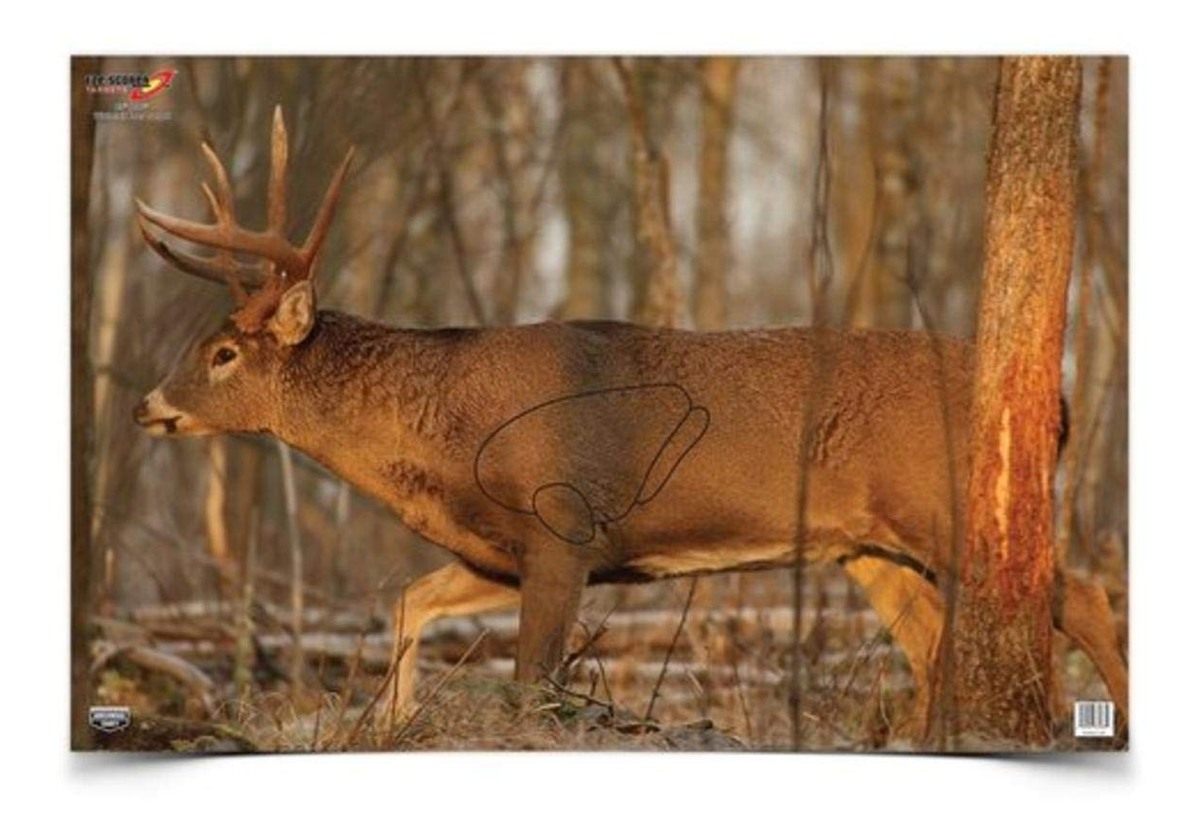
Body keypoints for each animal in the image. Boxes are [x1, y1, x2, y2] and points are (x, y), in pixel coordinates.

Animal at [132, 106, 1128, 742]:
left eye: (224, 352)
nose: (147, 405)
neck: (444, 439)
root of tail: (1058, 399)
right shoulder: (501, 551)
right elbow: (409, 601)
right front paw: (396, 722)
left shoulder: (564, 528)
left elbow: (533, 686)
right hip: (866, 545)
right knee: (932, 643)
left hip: (946, 505)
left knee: (1081, 598)